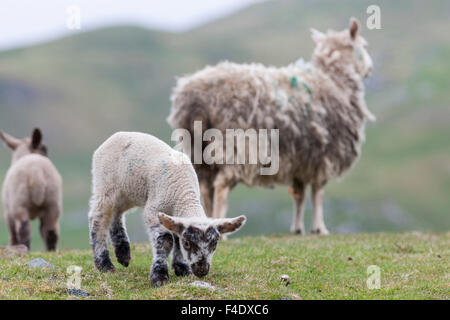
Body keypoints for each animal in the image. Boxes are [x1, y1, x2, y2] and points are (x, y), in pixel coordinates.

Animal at [88, 131, 246, 286]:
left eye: (214, 244)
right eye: (187, 243)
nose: (201, 271)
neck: (184, 195)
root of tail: (112, 138)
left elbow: (176, 236)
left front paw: (182, 268)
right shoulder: (154, 210)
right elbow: (166, 241)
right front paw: (159, 276)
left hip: (127, 192)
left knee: (116, 214)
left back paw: (123, 254)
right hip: (106, 185)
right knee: (98, 218)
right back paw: (104, 264)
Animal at [167, 18, 374, 236]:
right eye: (364, 45)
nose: (370, 68)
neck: (334, 79)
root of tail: (197, 99)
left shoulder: (300, 160)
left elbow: (299, 194)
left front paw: (297, 229)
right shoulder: (323, 156)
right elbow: (318, 193)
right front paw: (320, 228)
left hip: (198, 148)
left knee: (206, 188)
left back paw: (206, 222)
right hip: (233, 145)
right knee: (221, 187)